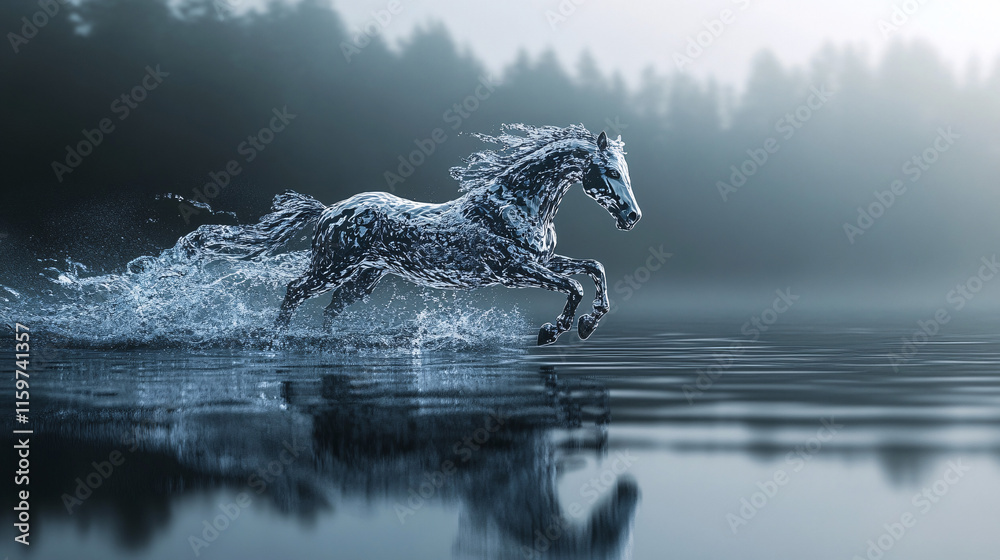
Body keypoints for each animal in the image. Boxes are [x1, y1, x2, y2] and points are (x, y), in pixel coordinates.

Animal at [189, 124, 640, 345]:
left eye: (626, 171)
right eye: (611, 171)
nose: (633, 216)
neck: (520, 203)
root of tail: (329, 211)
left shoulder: (541, 261)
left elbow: (594, 268)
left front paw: (587, 325)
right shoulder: (513, 268)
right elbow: (574, 286)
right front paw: (553, 331)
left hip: (365, 277)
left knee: (333, 307)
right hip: (333, 266)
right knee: (295, 290)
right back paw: (277, 337)